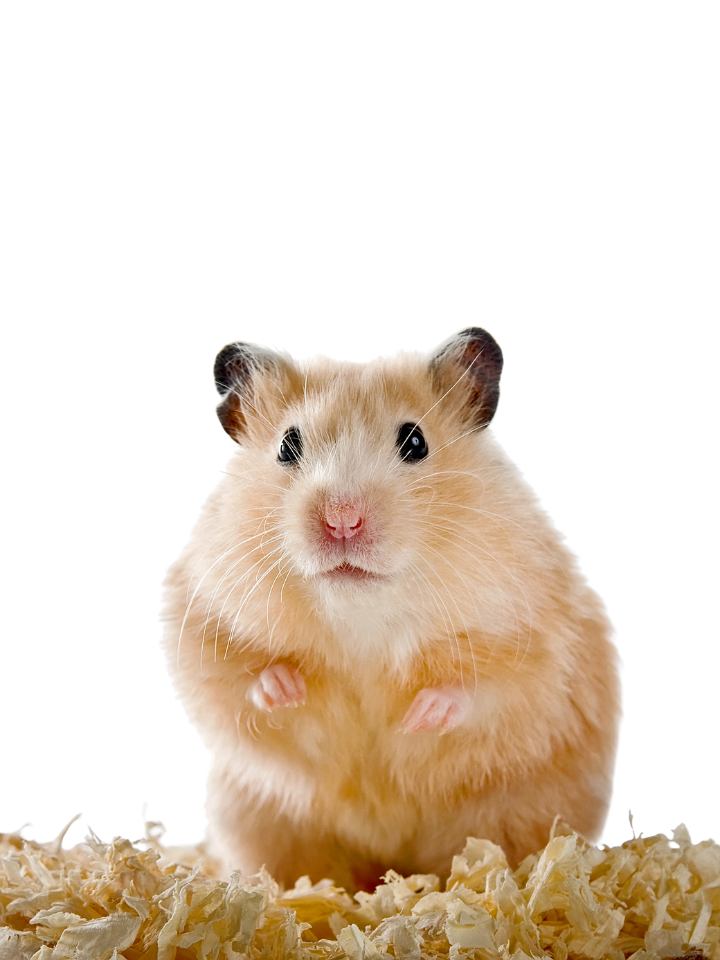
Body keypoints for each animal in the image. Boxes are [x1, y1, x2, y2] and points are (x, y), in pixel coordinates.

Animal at [158, 327, 624, 894]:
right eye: (287, 446)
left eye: (415, 442)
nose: (342, 521)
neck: (362, 611)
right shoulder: (198, 613)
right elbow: (230, 678)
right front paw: (288, 688)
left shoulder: (538, 636)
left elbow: (490, 688)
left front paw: (418, 716)